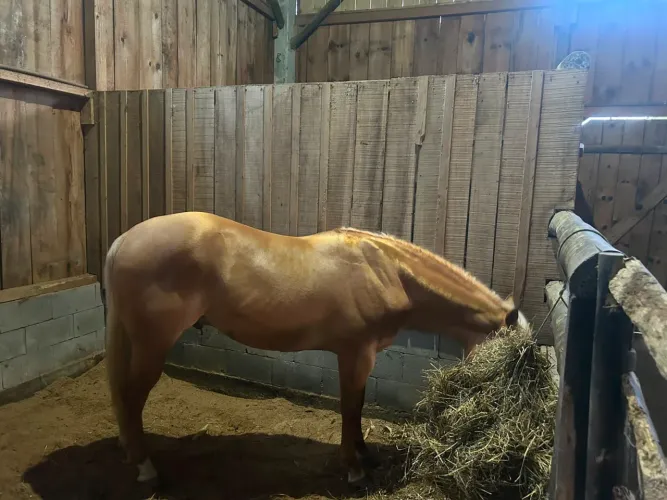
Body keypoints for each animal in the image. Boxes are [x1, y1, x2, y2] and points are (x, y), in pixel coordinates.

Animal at [103, 211, 529, 490]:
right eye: (515, 351)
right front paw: (353, 468)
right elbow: (351, 407)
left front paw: (365, 455)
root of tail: (123, 241)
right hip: (153, 345)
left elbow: (358, 406)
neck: (387, 270)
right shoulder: (356, 352)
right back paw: (146, 467)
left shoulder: (362, 355)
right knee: (131, 397)